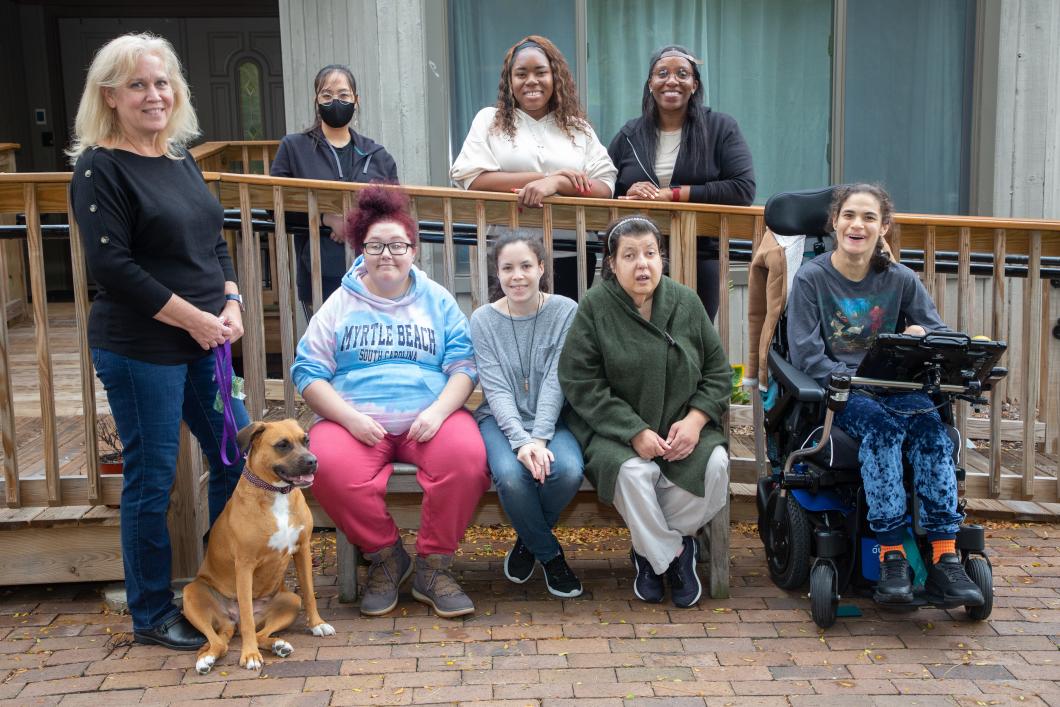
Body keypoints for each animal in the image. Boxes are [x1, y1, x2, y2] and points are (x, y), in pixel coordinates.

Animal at [181, 419, 330, 674]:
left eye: (306, 440)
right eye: (282, 444)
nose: (313, 461)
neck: (277, 493)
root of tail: (231, 620)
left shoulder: (302, 550)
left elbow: (310, 593)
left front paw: (317, 624)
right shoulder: (245, 565)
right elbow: (249, 620)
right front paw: (249, 655)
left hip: (291, 601)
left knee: (259, 634)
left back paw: (279, 645)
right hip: (191, 593)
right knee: (221, 639)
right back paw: (207, 658)